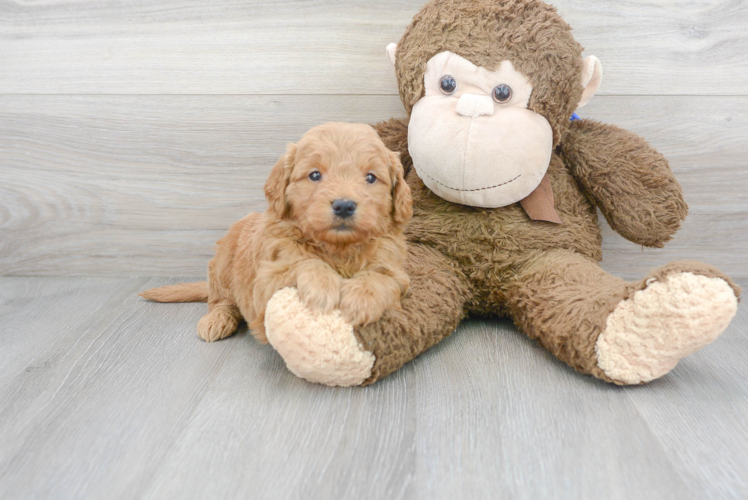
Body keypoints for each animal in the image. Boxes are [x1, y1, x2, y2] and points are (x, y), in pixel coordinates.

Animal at [137, 122, 412, 342]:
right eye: (315, 175)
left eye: (371, 178)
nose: (344, 205)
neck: (338, 248)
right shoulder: (264, 282)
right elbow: (304, 262)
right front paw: (322, 288)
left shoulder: (398, 274)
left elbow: (381, 277)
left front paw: (360, 299)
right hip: (223, 265)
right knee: (220, 301)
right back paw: (217, 321)